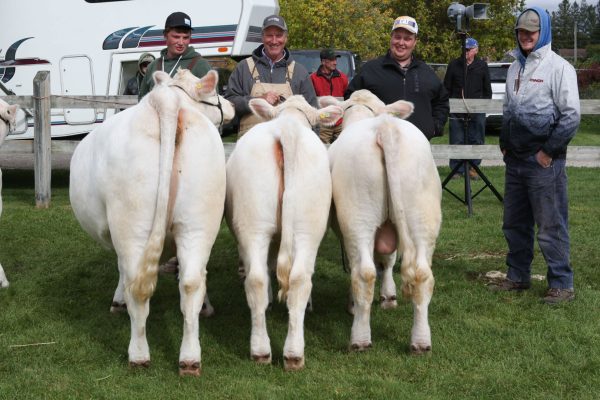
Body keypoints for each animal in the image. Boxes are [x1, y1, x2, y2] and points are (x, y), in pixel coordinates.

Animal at [68, 69, 232, 376]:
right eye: (216, 92)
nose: (229, 106)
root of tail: (166, 102)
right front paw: (208, 307)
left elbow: (122, 270)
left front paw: (117, 301)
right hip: (199, 221)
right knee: (191, 283)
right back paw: (190, 359)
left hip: (133, 225)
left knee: (138, 287)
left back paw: (139, 354)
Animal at [226, 95, 342, 370]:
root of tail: (287, 130)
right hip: (306, 229)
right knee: (298, 280)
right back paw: (289, 353)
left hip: (258, 225)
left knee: (260, 279)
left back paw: (265, 351)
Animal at [324, 90, 440, 354]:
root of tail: (385, 127)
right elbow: (388, 260)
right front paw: (389, 297)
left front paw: (354, 304)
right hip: (423, 217)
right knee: (422, 274)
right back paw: (421, 342)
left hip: (358, 217)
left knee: (364, 273)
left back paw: (360, 339)